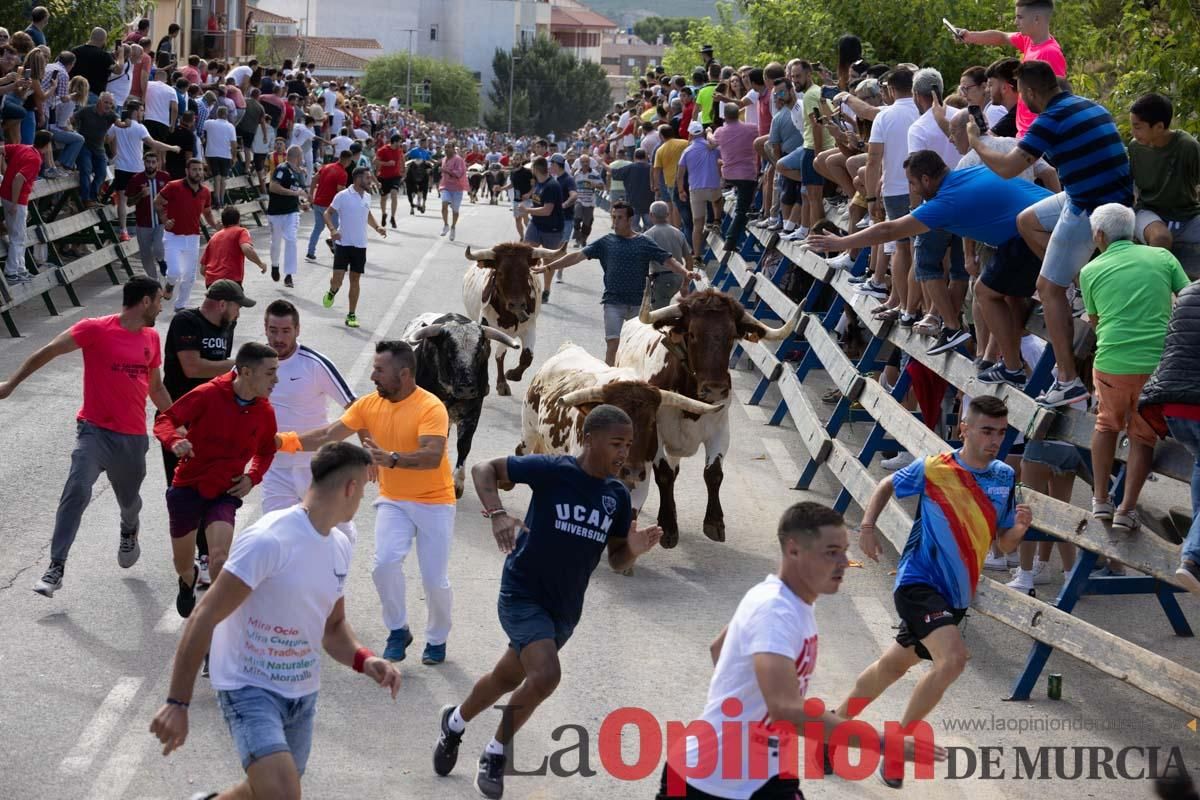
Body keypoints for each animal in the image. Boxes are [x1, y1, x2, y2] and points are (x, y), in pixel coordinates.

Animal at [403, 309, 520, 496]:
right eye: (449, 352)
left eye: (478, 353)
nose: (467, 388)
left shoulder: (472, 413)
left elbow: (464, 445)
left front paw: (457, 482)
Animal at [463, 241, 566, 398]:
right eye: (500, 273)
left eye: (526, 272)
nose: (517, 304)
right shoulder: (486, 328)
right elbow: (486, 354)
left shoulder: (529, 328)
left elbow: (527, 357)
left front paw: (512, 375)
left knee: (500, 355)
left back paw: (502, 383)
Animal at [518, 343, 720, 506]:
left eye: (651, 422)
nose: (632, 471)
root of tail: (568, 346)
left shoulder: (640, 486)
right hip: (529, 429)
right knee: (522, 451)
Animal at [614, 287, 801, 551]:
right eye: (692, 333)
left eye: (732, 336)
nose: (715, 389)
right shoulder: (656, 433)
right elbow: (664, 474)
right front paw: (668, 526)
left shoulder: (720, 430)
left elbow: (713, 473)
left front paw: (714, 522)